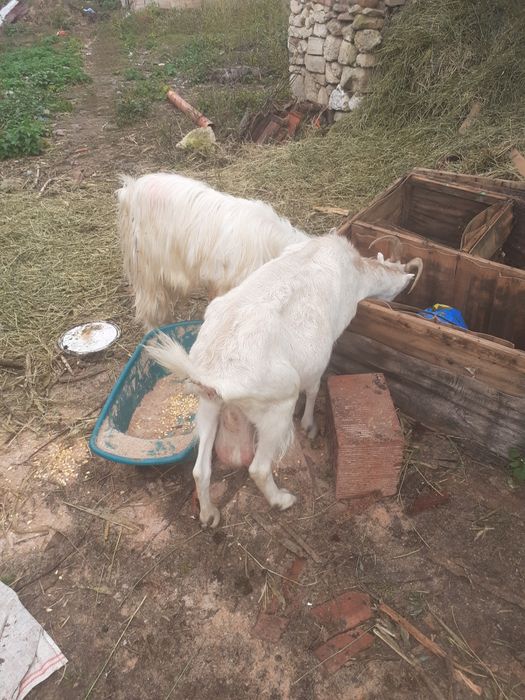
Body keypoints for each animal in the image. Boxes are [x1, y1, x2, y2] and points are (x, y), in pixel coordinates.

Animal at [147, 231, 423, 527]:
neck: (355, 270)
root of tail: (213, 375)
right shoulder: (320, 354)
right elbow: (313, 389)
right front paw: (310, 425)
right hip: (276, 407)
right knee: (258, 467)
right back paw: (282, 500)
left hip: (207, 405)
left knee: (200, 470)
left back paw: (209, 514)